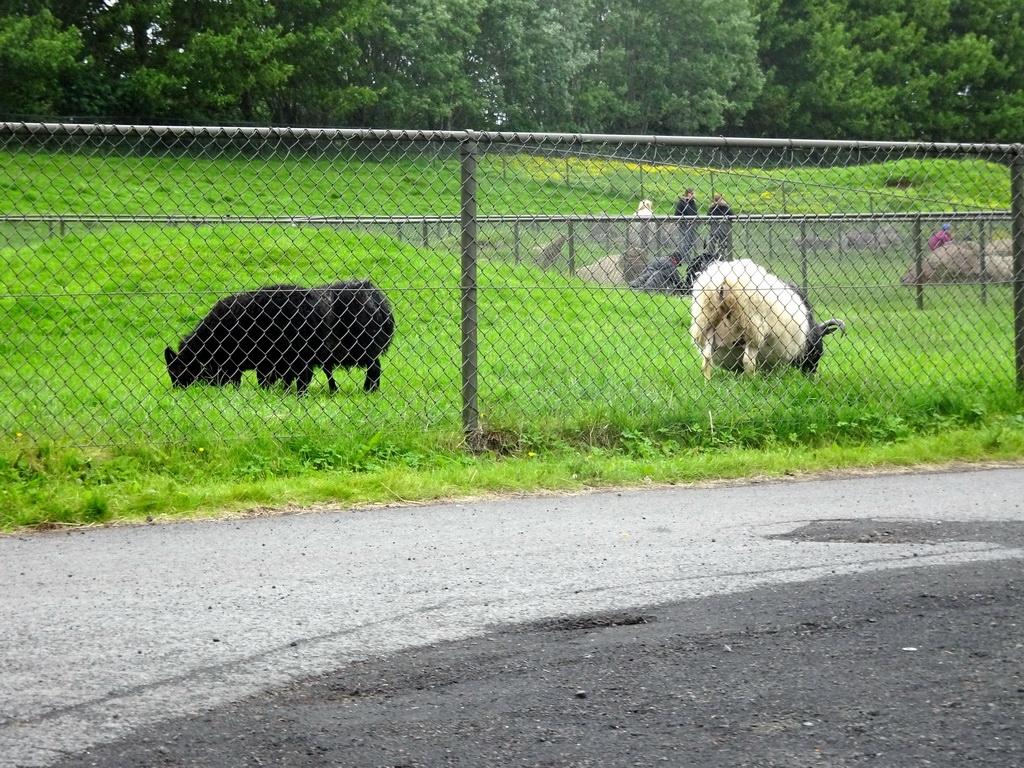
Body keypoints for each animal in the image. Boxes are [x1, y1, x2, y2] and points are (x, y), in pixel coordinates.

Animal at [688, 262, 847, 382]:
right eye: (819, 347)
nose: (811, 374)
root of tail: (723, 283)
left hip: (706, 323)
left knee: (706, 359)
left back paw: (707, 383)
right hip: (753, 328)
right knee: (748, 361)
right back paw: (753, 383)